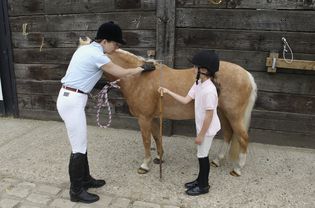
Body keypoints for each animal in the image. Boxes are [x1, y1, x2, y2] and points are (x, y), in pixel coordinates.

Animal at [80, 37, 258, 176]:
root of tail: (246, 75)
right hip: (221, 112)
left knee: (243, 137)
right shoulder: (152, 118)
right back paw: (217, 160)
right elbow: (157, 138)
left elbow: (146, 140)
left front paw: (145, 165)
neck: (138, 78)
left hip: (233, 114)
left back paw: (238, 168)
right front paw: (159, 158)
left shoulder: (143, 119)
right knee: (228, 133)